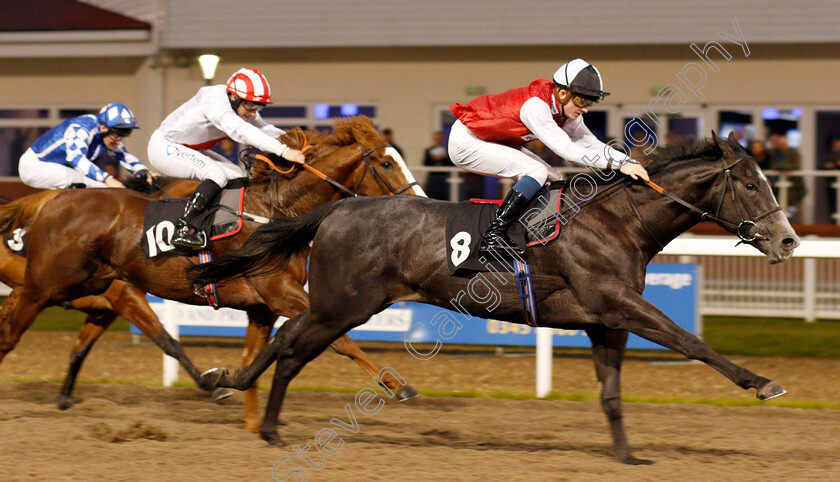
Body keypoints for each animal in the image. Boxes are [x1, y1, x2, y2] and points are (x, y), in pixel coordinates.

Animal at [0, 117, 420, 434]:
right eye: (386, 164)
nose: (418, 200)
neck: (276, 210)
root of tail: (54, 199)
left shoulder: (262, 307)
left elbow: (257, 353)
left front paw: (242, 406)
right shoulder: (280, 292)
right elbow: (342, 340)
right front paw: (398, 386)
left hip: (85, 284)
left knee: (21, 316)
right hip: (51, 285)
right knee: (10, 334)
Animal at [192, 134, 800, 466]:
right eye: (750, 185)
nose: (789, 241)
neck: (617, 221)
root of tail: (337, 208)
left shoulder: (605, 321)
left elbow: (611, 394)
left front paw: (628, 455)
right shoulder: (619, 303)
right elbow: (690, 341)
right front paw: (763, 383)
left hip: (341, 304)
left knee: (288, 344)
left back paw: (243, 398)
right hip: (341, 304)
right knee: (293, 346)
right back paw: (257, 412)